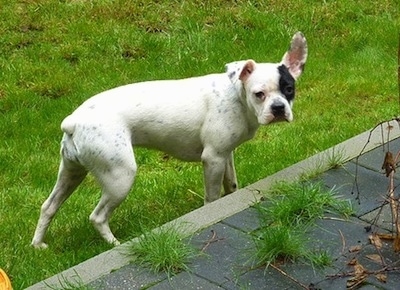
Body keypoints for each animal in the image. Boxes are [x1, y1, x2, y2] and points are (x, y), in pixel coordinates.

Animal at [32, 32, 306, 249]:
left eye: (289, 89)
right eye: (259, 94)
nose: (279, 108)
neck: (235, 94)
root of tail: (74, 121)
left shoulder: (225, 155)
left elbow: (232, 186)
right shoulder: (213, 159)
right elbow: (212, 197)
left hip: (71, 172)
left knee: (49, 206)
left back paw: (38, 245)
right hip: (120, 177)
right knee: (97, 216)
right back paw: (114, 243)